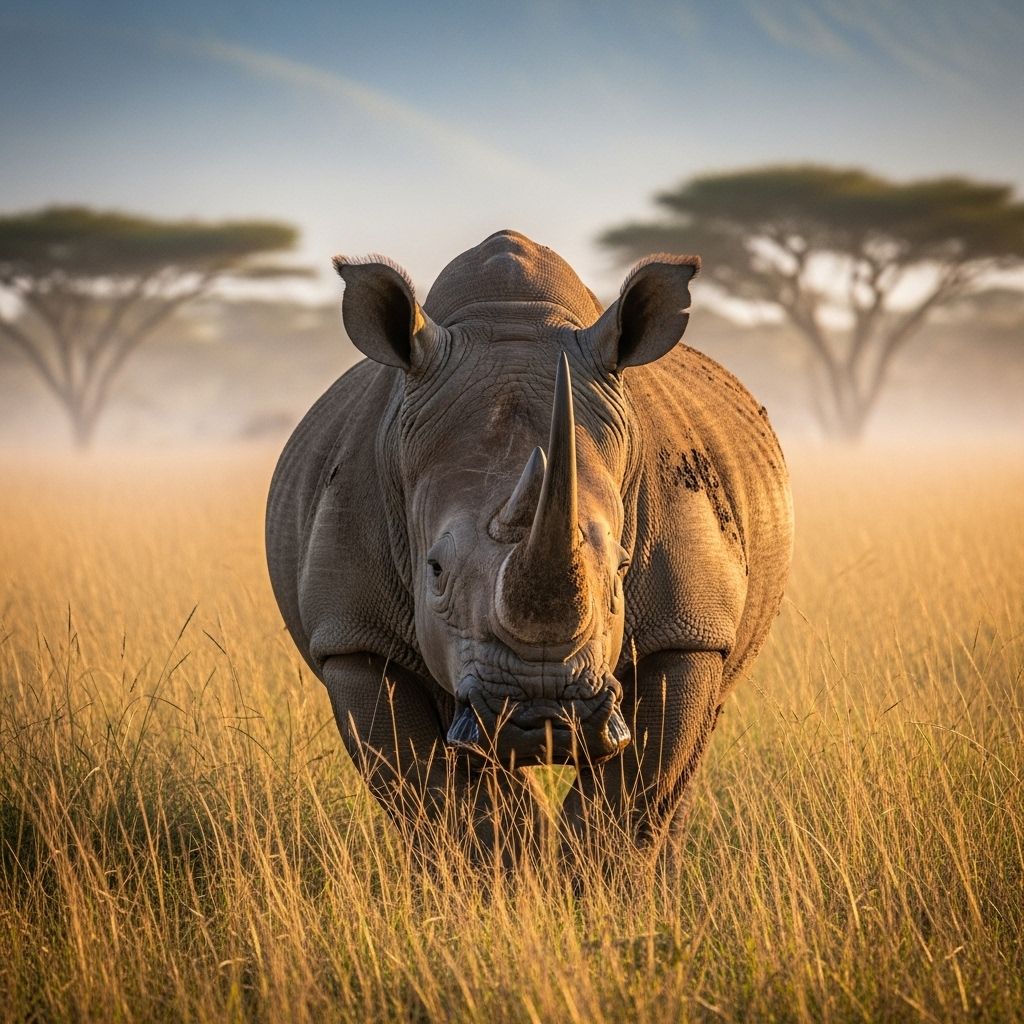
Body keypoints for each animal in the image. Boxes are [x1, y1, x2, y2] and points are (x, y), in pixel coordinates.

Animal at [266, 230, 792, 858]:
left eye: (622, 568)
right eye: (434, 570)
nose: (544, 714)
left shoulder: (688, 631)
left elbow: (625, 801)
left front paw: (585, 879)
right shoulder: (353, 637)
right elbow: (443, 802)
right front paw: (505, 874)